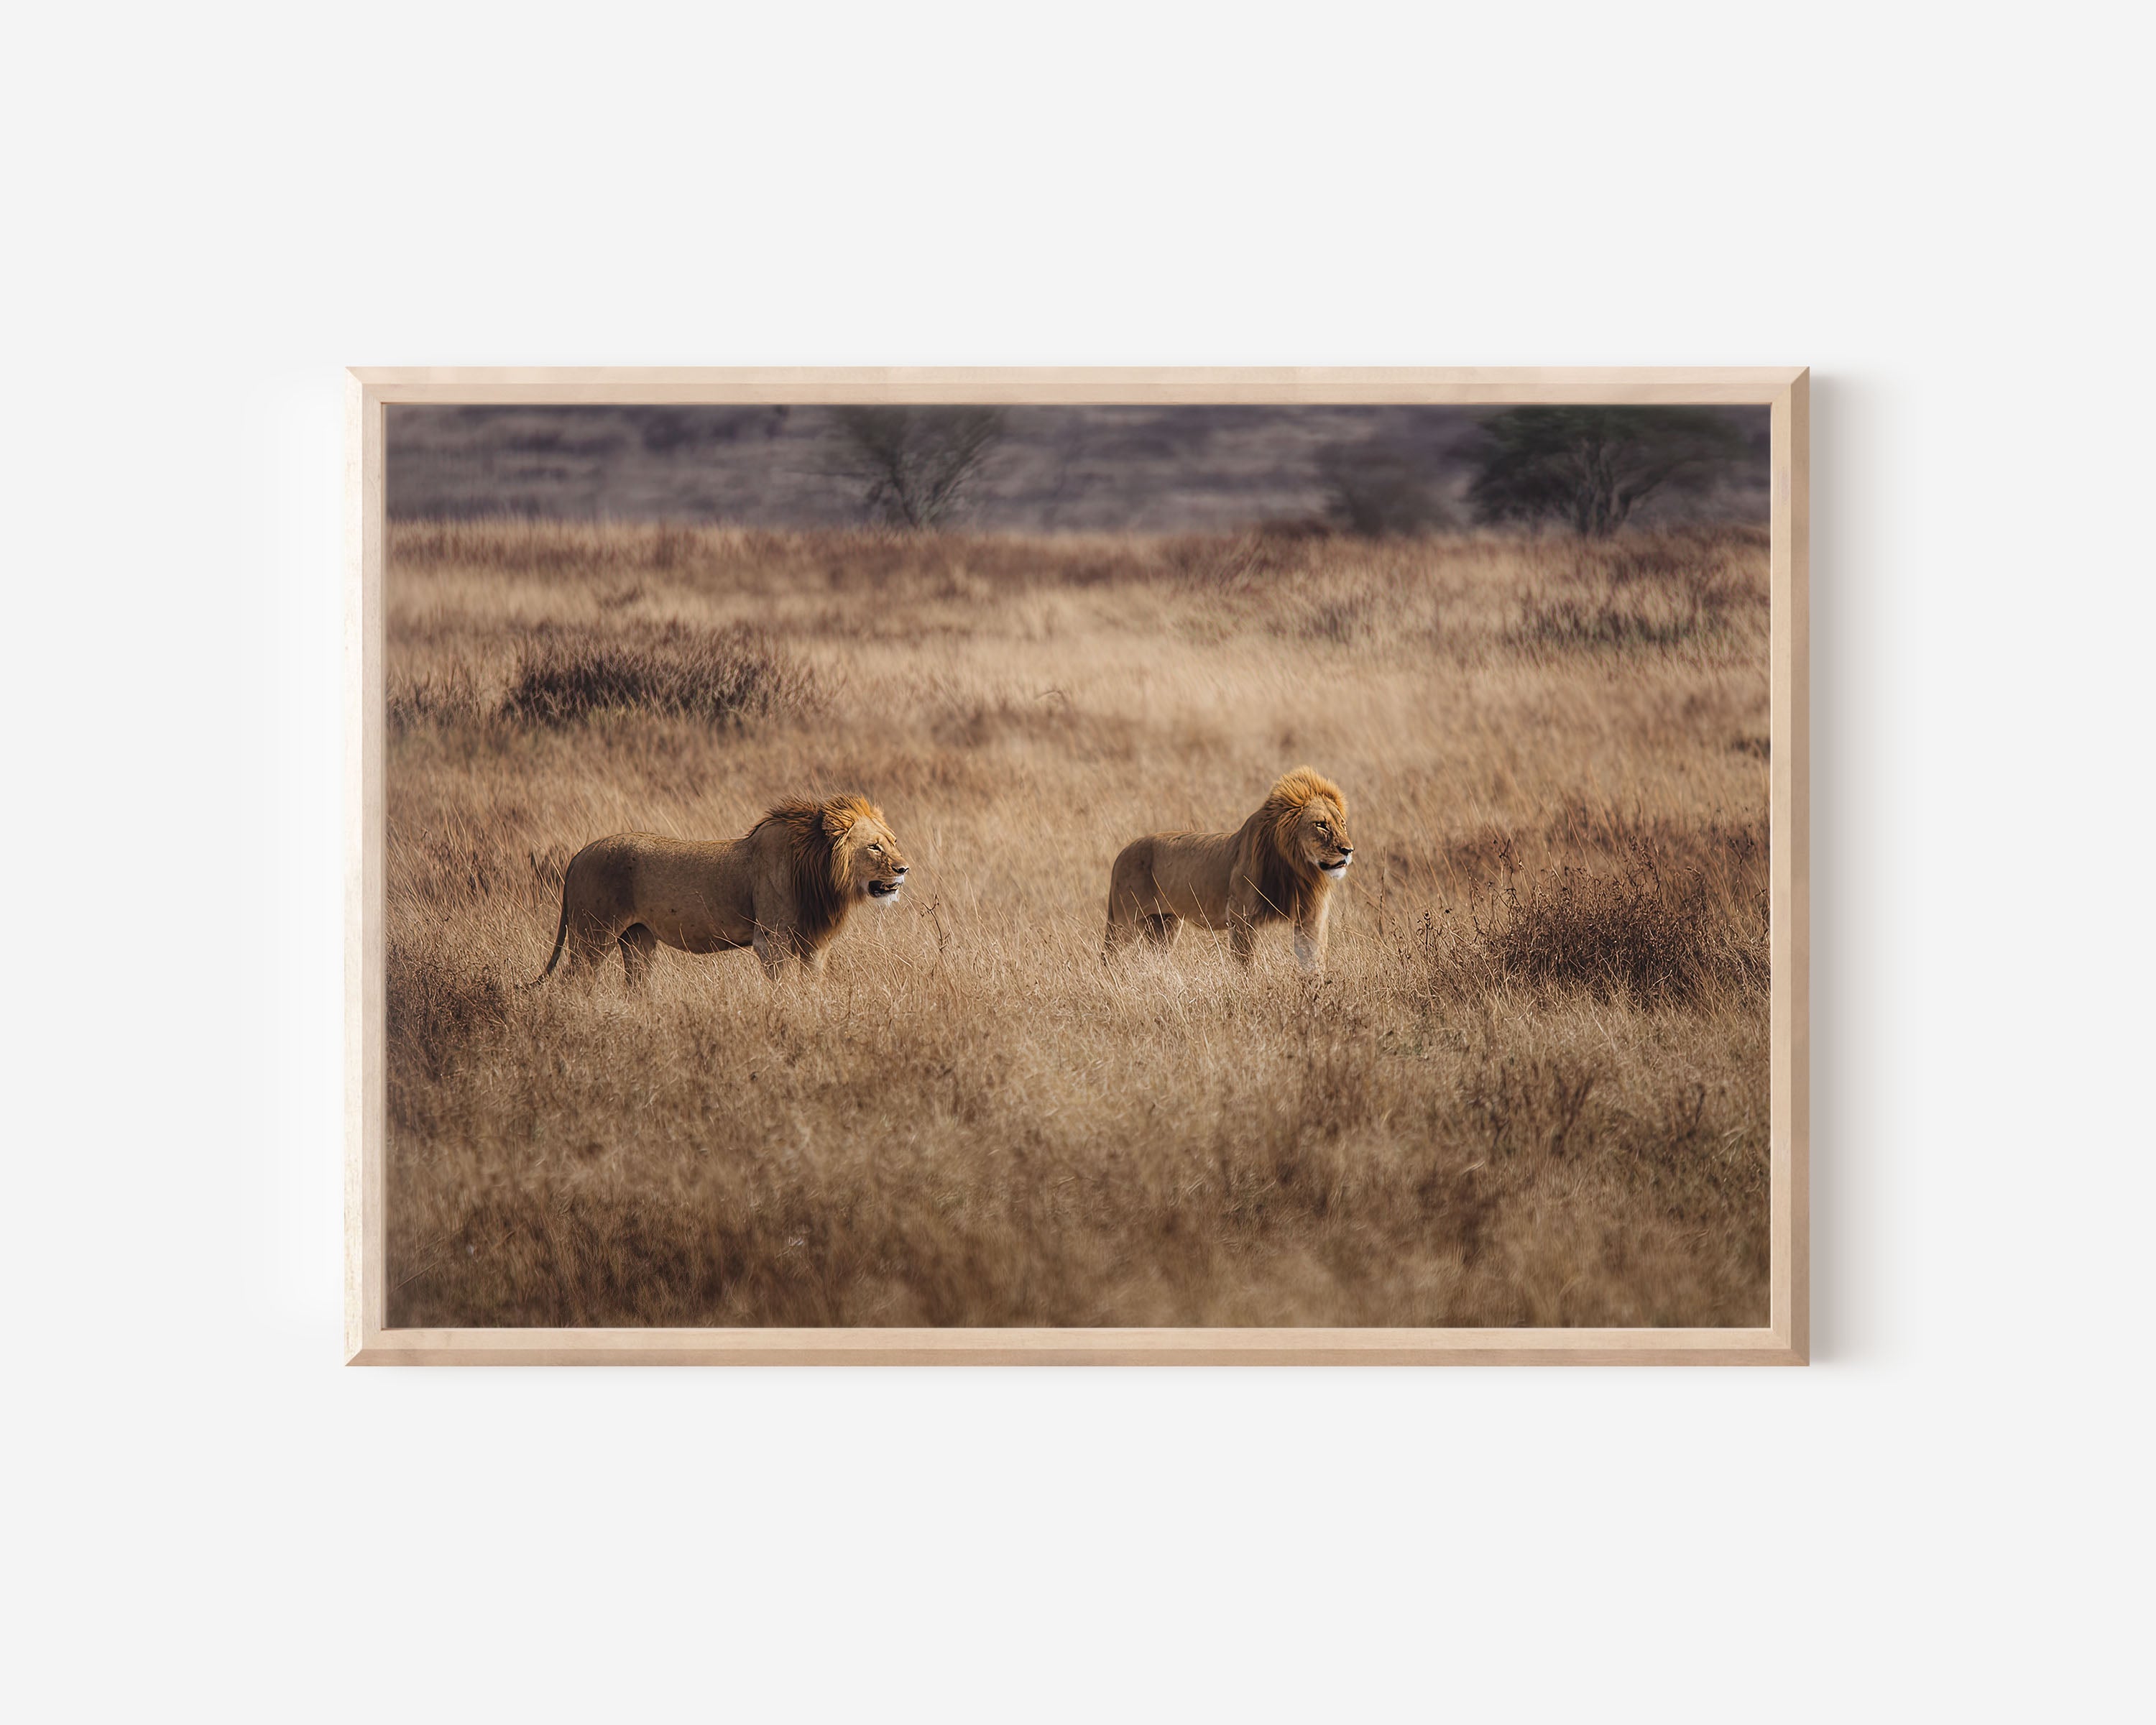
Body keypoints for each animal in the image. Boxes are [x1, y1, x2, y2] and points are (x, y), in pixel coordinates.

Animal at [532, 795, 909, 986]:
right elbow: (783, 987)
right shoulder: (771, 941)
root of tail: (579, 855)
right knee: (572, 982)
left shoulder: (814, 943)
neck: (819, 873)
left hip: (638, 940)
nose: (904, 869)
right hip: (593, 937)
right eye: (874, 847)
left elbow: (810, 985)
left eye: (893, 842)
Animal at [1103, 767, 1354, 971]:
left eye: (1342, 824)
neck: (1297, 870)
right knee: (1109, 956)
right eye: (1321, 825)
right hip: (1124, 923)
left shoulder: (1311, 918)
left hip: (1164, 925)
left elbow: (1313, 961)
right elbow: (1245, 964)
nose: (1348, 850)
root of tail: (1121, 854)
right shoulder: (1241, 916)